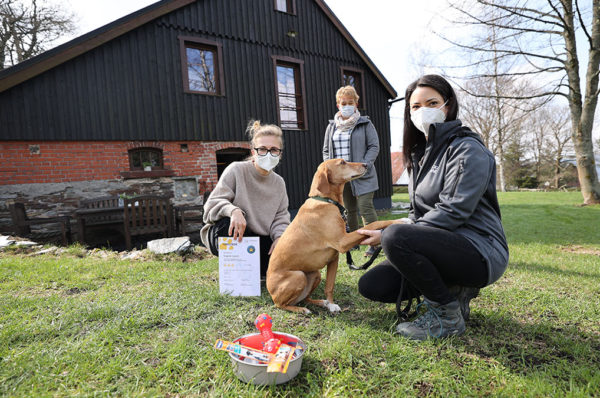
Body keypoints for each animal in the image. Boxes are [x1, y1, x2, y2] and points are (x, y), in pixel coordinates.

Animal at [266, 159, 396, 314]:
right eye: (343, 162)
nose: (366, 165)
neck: (326, 201)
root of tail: (270, 291)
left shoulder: (334, 258)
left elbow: (330, 286)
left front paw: (332, 304)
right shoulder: (343, 242)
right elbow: (373, 224)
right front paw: (401, 220)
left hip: (315, 274)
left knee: (305, 298)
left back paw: (322, 303)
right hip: (298, 276)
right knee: (280, 304)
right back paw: (301, 310)